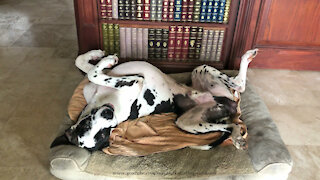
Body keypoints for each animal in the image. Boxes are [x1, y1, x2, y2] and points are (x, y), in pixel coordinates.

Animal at [64, 48, 258, 150]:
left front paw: (97, 55)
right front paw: (105, 59)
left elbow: (84, 65)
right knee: (235, 110)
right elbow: (93, 73)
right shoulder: (136, 82)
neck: (100, 101)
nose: (109, 114)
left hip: (200, 71)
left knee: (237, 90)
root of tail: (227, 106)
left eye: (103, 132)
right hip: (189, 123)